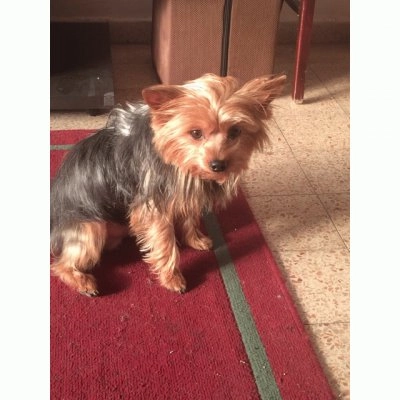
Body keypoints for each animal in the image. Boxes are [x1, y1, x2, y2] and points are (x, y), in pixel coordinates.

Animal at [50, 73, 286, 296]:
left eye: (235, 131)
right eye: (195, 133)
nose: (218, 165)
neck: (179, 163)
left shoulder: (185, 192)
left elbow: (189, 216)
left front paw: (195, 239)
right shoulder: (154, 207)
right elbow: (165, 242)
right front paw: (172, 278)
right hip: (90, 227)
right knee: (61, 265)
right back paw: (83, 282)